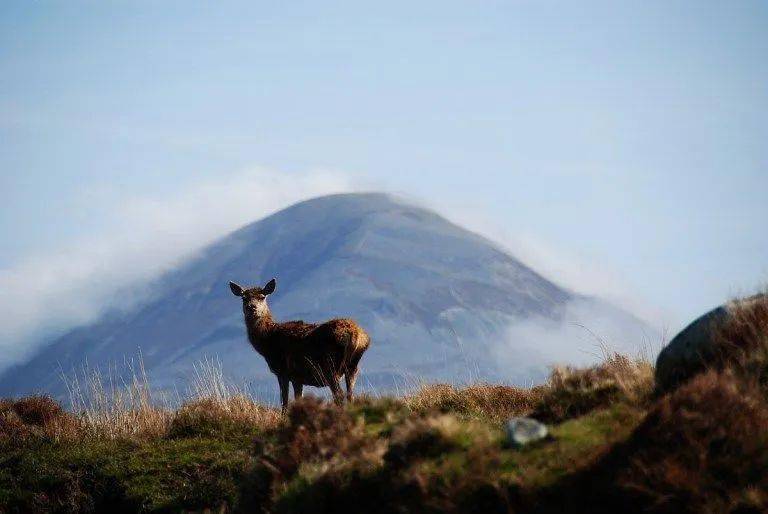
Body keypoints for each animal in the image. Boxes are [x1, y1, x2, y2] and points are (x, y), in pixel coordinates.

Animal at [230, 276, 370, 408]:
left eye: (262, 297)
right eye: (244, 298)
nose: (251, 307)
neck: (267, 341)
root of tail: (358, 336)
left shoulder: (282, 371)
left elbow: (285, 402)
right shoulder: (297, 378)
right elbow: (298, 398)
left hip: (330, 366)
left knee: (339, 395)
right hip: (352, 367)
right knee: (350, 396)